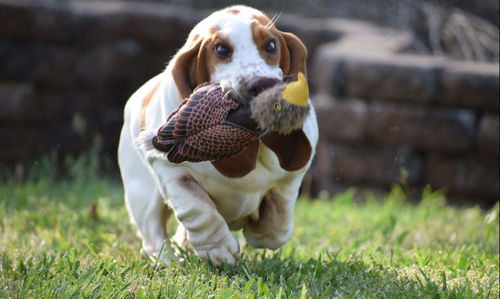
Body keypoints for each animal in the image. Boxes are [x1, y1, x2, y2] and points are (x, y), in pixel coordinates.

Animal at [118, 4, 316, 266]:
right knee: (153, 236)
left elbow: (278, 224)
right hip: (142, 196)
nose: (262, 84)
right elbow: (198, 210)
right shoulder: (169, 169)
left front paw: (259, 231)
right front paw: (218, 250)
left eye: (271, 46)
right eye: (221, 50)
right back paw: (167, 261)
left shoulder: (291, 178)